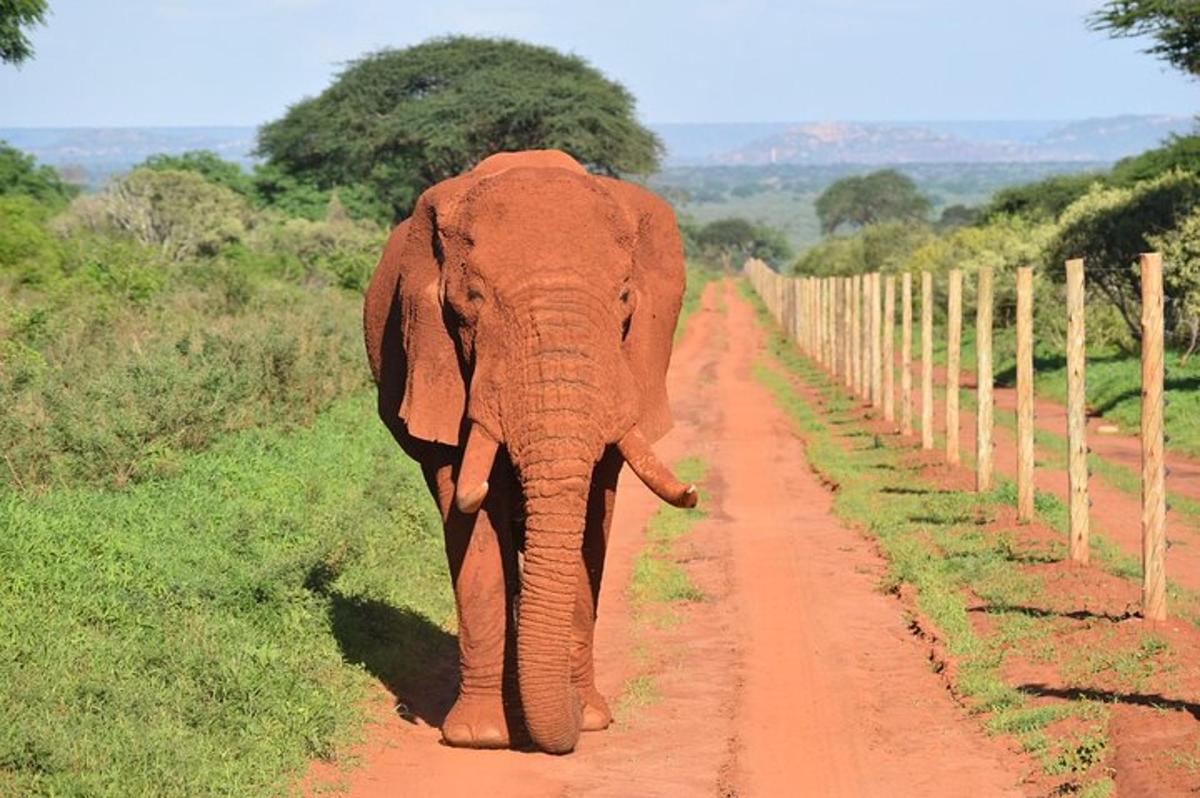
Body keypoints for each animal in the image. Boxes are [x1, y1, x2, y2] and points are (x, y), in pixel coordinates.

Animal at [360, 149, 700, 753]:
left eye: (625, 299)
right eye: (470, 303)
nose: (695, 492)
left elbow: (593, 521)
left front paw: (590, 719)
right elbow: (470, 520)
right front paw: (478, 737)